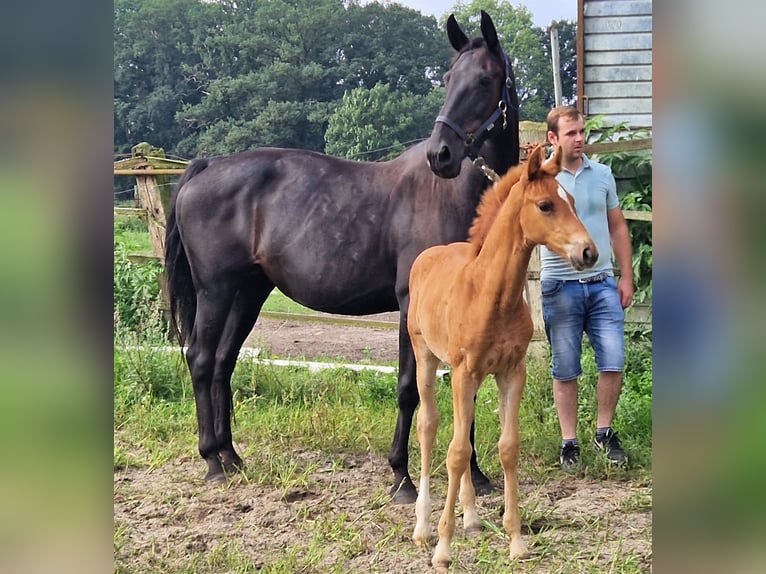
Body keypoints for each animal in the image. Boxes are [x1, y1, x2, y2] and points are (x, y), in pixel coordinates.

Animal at [164, 10, 520, 504]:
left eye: (485, 80)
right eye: (449, 78)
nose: (441, 154)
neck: (454, 197)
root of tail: (206, 165)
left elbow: (463, 387)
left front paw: (478, 476)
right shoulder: (411, 306)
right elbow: (409, 388)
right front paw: (401, 478)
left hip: (248, 293)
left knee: (222, 363)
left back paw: (232, 457)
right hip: (214, 290)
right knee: (199, 359)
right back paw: (212, 462)